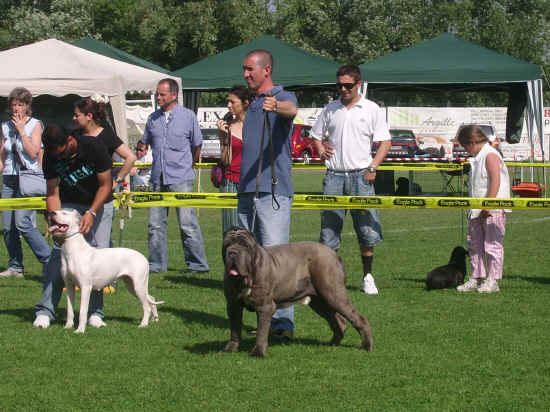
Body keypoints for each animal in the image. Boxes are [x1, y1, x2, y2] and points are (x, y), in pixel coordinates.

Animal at [224, 227, 376, 356]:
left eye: (245, 245)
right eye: (226, 245)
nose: (232, 252)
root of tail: (333, 253)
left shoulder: (265, 307)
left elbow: (262, 331)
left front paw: (258, 353)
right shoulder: (233, 305)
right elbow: (235, 329)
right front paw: (231, 348)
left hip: (334, 295)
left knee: (359, 318)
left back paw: (366, 346)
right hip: (320, 302)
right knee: (338, 321)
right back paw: (332, 343)